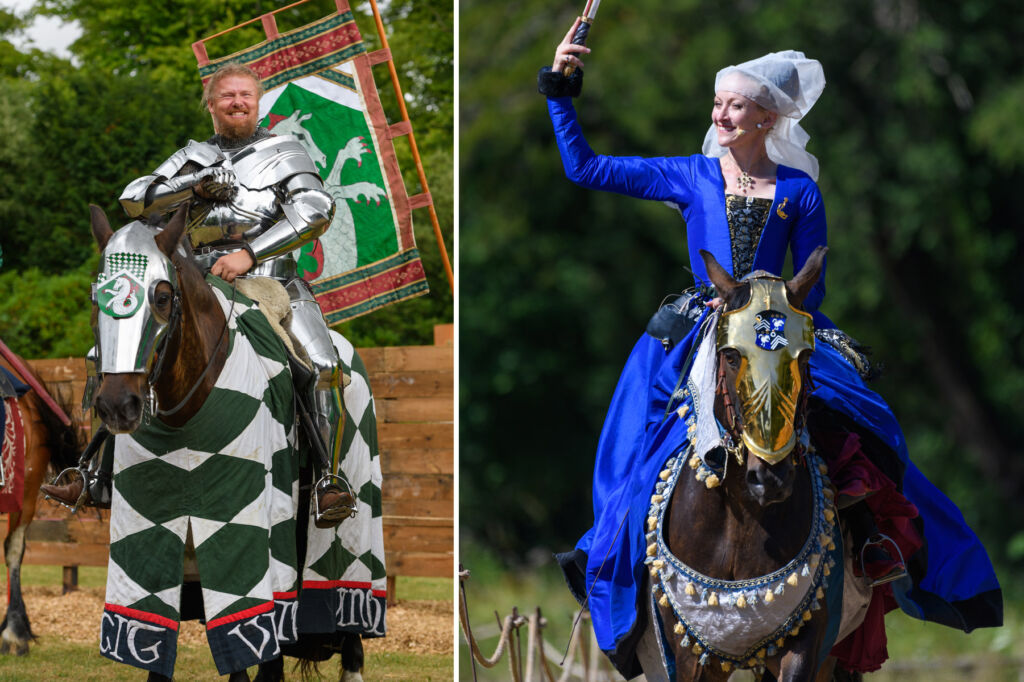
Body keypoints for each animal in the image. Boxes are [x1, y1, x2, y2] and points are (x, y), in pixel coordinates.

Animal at [643, 248, 868, 679]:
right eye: (731, 356)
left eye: (806, 357)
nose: (770, 478)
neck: (742, 516)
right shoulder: (693, 651)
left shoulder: (805, 641)